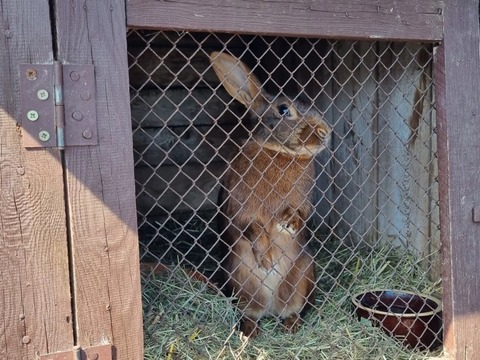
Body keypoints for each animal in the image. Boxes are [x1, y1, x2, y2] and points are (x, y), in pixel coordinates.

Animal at [212, 51, 332, 338]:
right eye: (284, 110)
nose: (325, 132)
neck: (280, 152)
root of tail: (270, 307)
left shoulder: (303, 203)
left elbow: (299, 214)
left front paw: (289, 223)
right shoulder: (240, 208)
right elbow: (252, 227)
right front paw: (267, 259)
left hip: (303, 275)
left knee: (294, 309)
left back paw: (290, 326)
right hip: (238, 280)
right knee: (250, 313)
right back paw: (250, 331)